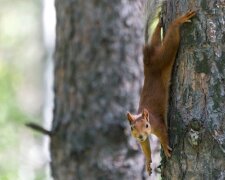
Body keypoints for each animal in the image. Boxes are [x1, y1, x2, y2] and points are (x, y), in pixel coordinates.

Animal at [126, 10, 195, 174]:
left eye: (146, 125)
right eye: (132, 128)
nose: (139, 136)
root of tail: (149, 59)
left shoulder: (158, 124)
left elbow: (164, 134)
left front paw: (165, 147)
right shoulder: (143, 140)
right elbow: (146, 147)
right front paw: (148, 162)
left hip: (164, 56)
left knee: (171, 40)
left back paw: (178, 21)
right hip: (157, 50)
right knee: (156, 38)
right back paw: (159, 23)